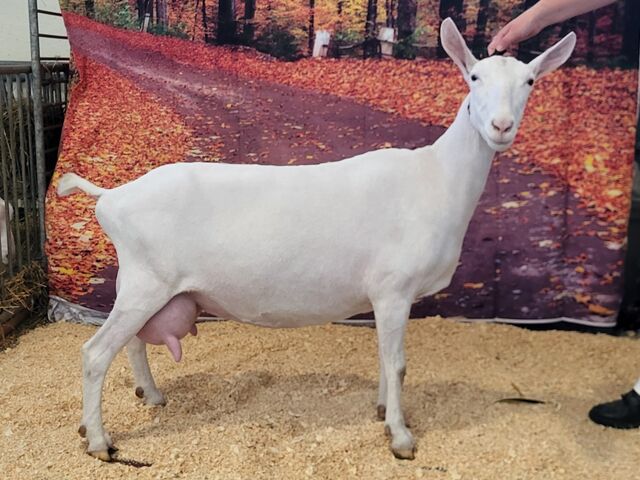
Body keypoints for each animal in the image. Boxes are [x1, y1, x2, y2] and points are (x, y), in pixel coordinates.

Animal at [56, 20, 576, 464]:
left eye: (530, 81)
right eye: (473, 76)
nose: (501, 127)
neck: (436, 179)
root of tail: (111, 196)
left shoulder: (384, 297)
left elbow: (384, 359)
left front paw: (381, 412)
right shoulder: (394, 288)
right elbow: (398, 364)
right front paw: (401, 437)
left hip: (143, 284)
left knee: (132, 342)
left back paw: (151, 396)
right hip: (146, 280)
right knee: (95, 353)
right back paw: (100, 441)